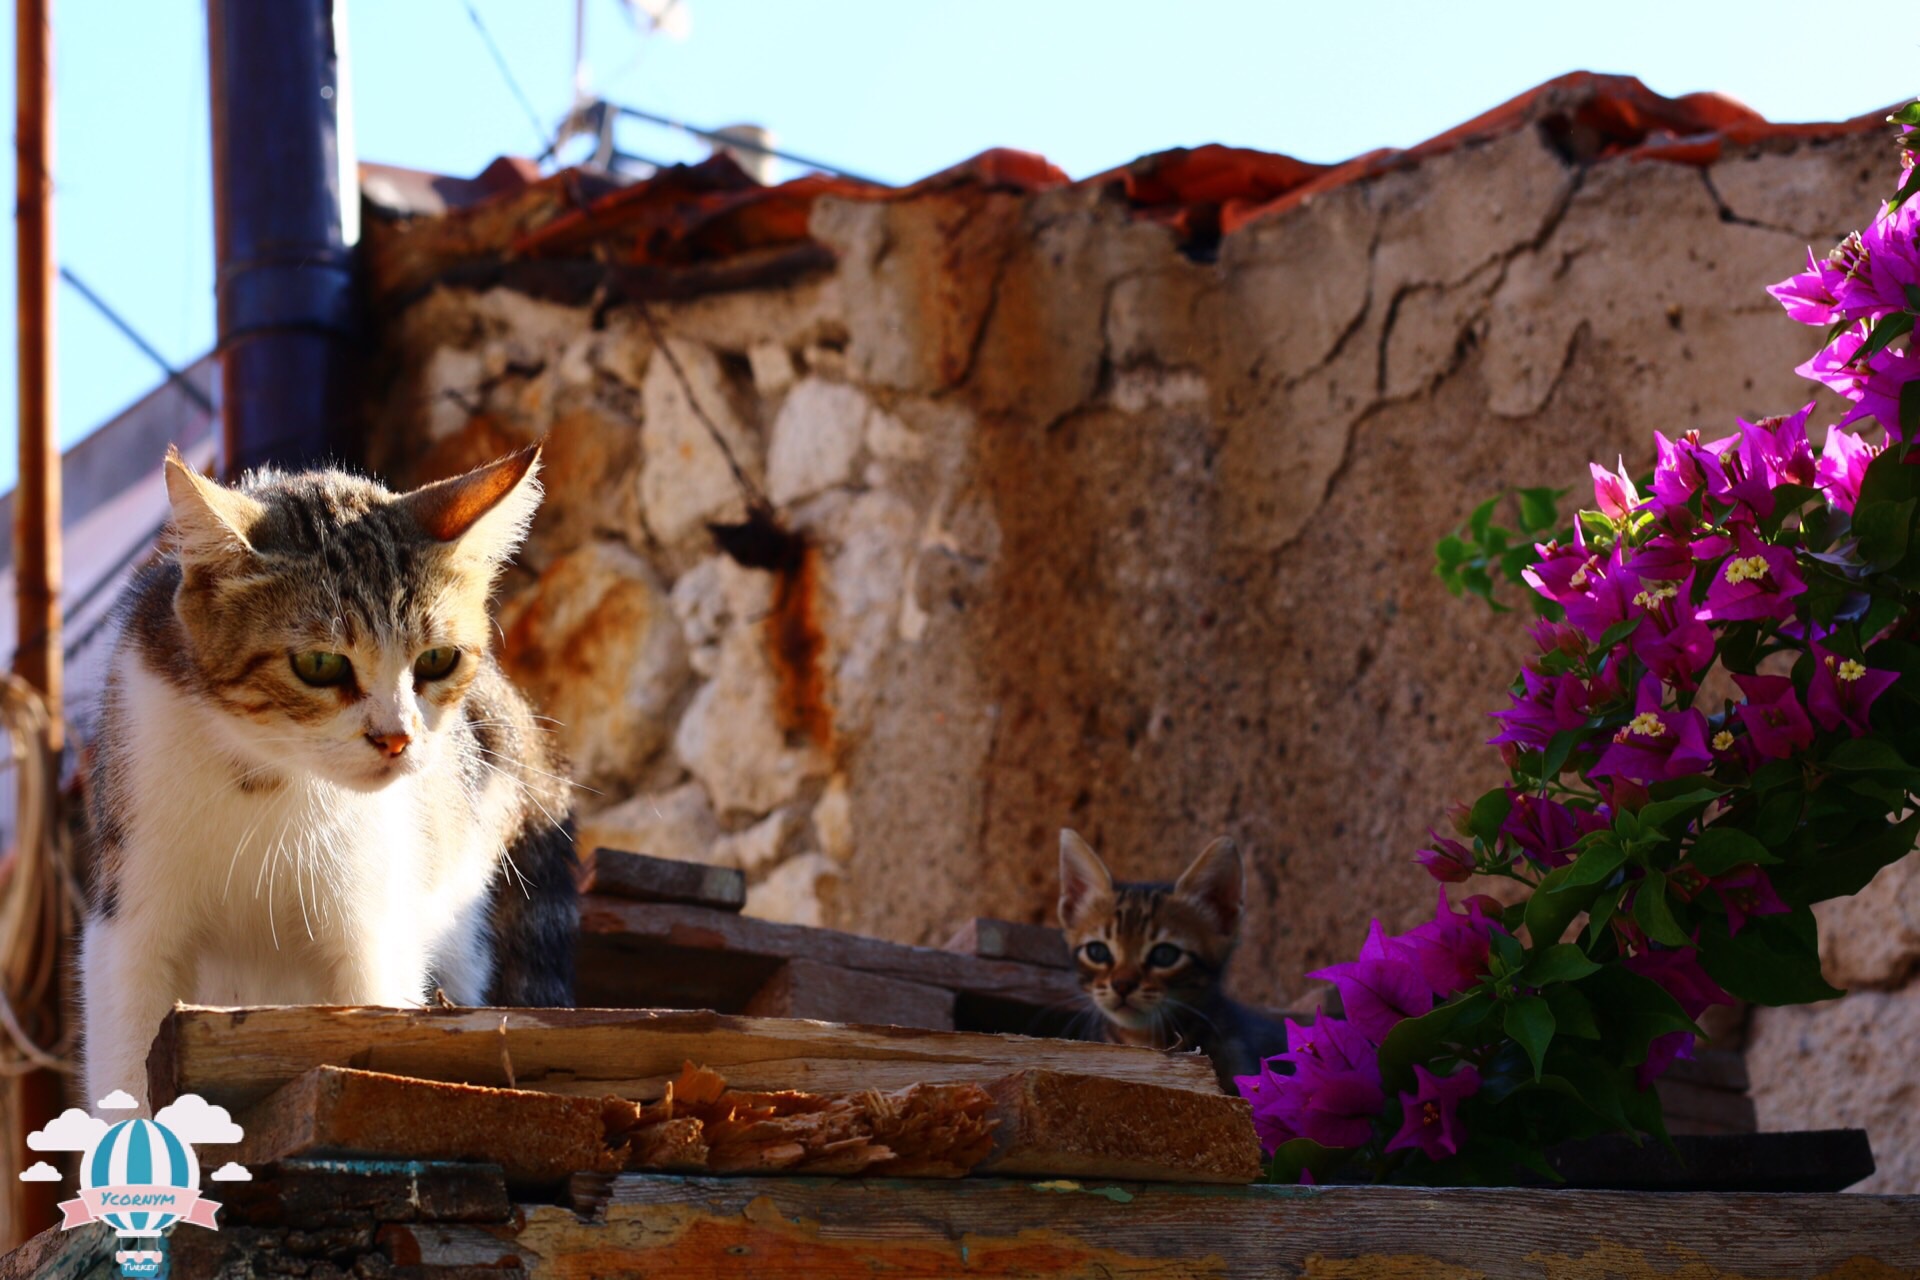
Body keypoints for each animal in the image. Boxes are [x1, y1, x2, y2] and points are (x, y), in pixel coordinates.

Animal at [82, 445, 572, 1105]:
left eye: (437, 660)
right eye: (319, 664)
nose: (396, 737)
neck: (270, 779)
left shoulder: (371, 930)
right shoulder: (131, 921)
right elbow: (126, 1071)